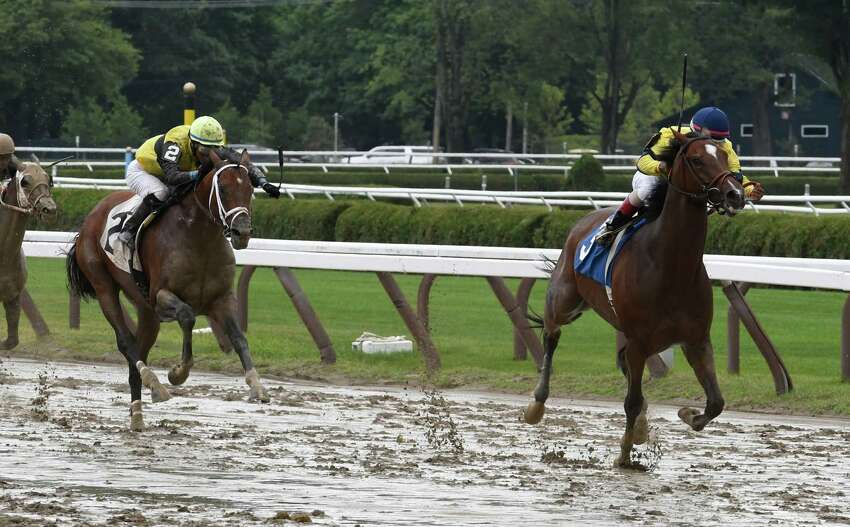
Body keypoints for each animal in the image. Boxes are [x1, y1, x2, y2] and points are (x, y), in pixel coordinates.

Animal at [66, 151, 268, 432]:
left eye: (250, 188)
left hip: (146, 312)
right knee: (126, 342)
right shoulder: (160, 297)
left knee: (137, 352)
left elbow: (239, 338)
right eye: (223, 188)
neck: (200, 239)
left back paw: (138, 413)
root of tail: (92, 216)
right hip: (104, 285)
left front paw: (257, 385)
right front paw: (178, 372)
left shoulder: (222, 299)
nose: (242, 232)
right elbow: (187, 316)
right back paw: (156, 385)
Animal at [528, 131, 744, 466]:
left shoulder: (696, 339)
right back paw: (536, 405)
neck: (672, 266)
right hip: (565, 300)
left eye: (725, 155)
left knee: (624, 364)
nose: (734, 194)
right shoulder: (640, 341)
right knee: (552, 335)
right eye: (697, 159)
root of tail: (586, 219)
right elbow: (631, 400)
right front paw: (625, 456)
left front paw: (686, 414)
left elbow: (716, 401)